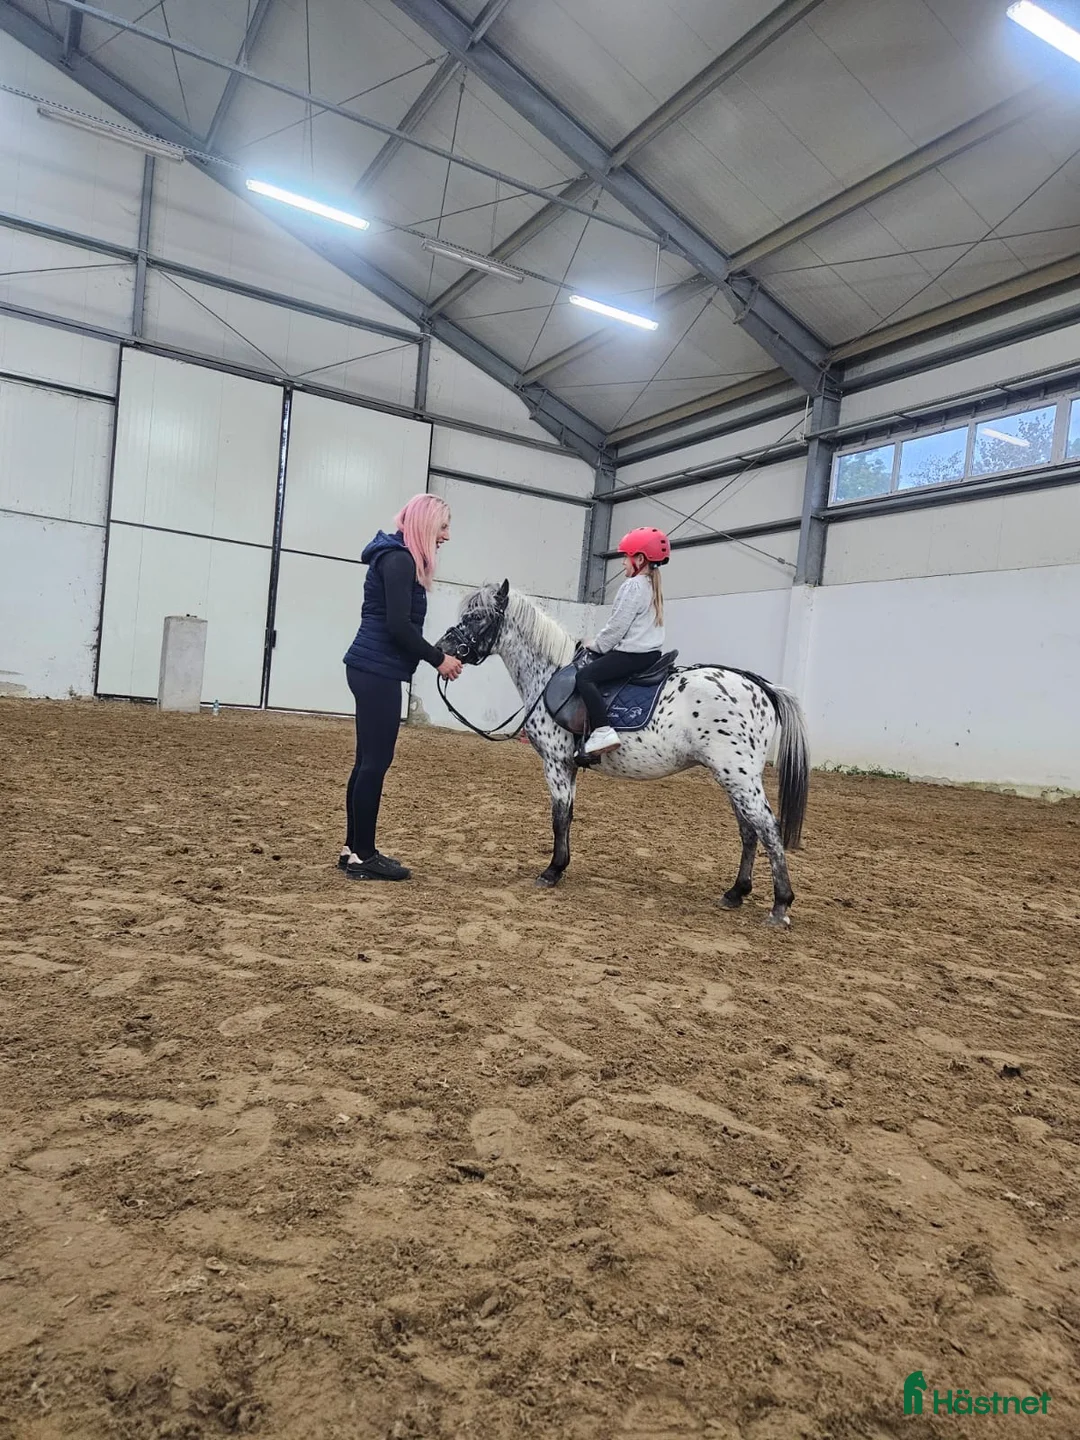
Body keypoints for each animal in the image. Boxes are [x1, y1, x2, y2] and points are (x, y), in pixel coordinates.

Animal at [437, 581, 811, 927]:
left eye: (475, 616)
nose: (443, 649)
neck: (548, 675)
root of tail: (760, 686)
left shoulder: (556, 762)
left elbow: (558, 818)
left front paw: (552, 871)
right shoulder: (569, 766)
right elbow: (568, 817)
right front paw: (561, 867)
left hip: (738, 776)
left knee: (767, 827)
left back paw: (780, 905)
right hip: (732, 776)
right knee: (749, 830)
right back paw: (735, 893)